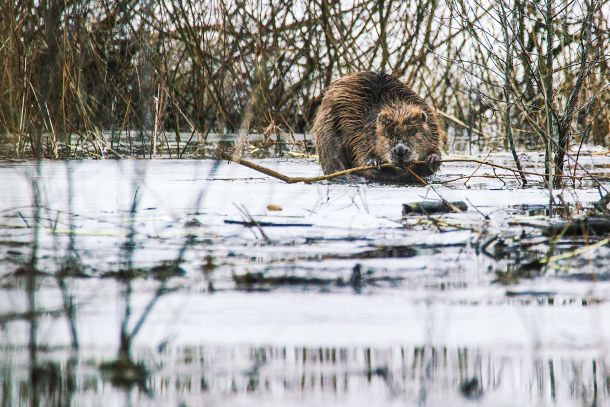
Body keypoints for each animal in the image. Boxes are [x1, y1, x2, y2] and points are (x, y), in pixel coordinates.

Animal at [312, 71, 444, 183]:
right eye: (387, 134)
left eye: (413, 132)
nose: (400, 150)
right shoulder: (359, 130)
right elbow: (361, 156)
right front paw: (374, 162)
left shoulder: (432, 124)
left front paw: (433, 158)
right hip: (327, 127)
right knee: (334, 158)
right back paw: (354, 177)